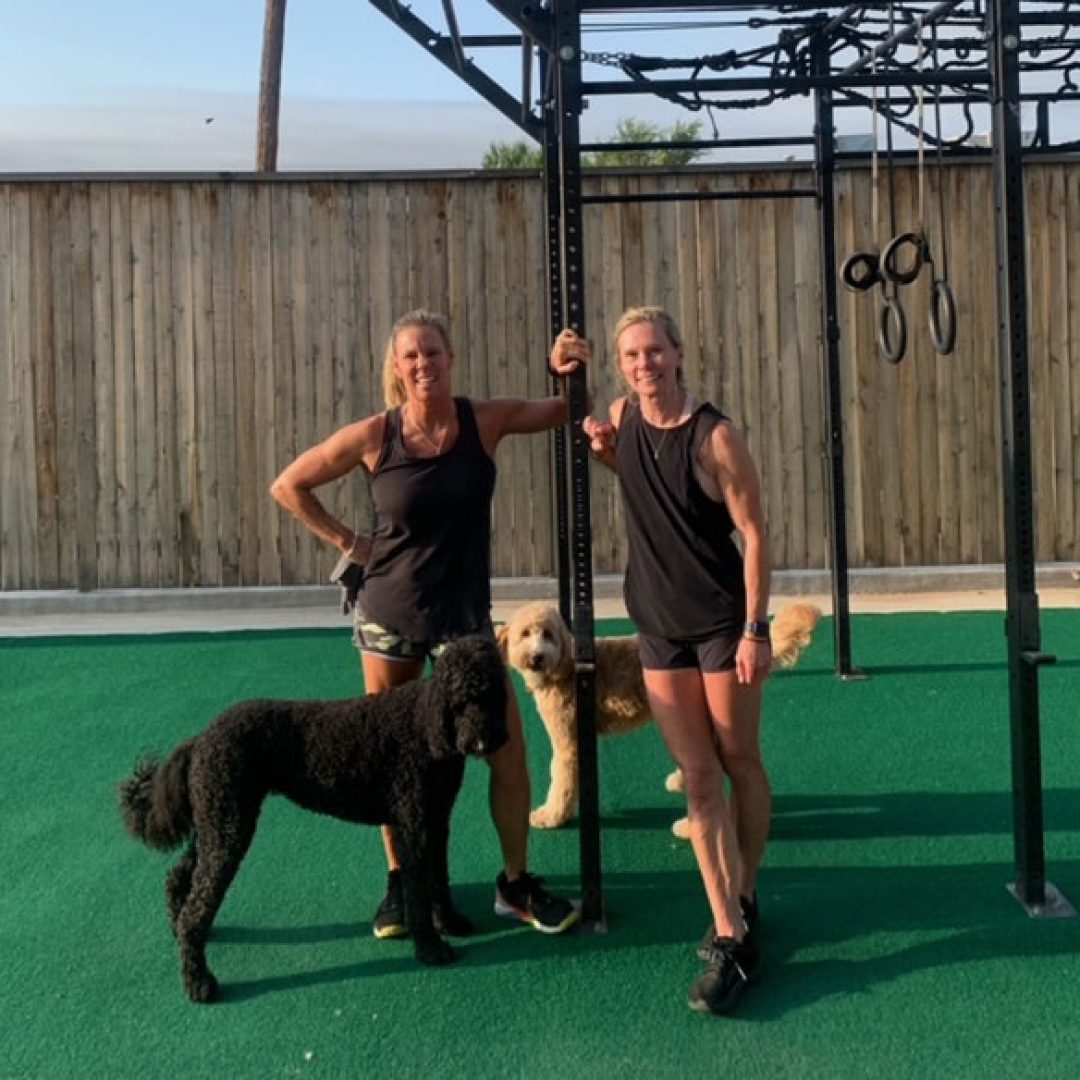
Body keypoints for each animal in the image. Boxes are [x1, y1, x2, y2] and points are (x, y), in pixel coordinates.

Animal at [120, 630, 507, 1002]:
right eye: (459, 701)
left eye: (491, 696)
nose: (482, 742)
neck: (426, 724)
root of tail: (202, 737)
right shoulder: (414, 826)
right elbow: (418, 891)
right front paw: (430, 948)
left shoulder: (437, 821)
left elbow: (439, 879)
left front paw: (451, 922)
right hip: (229, 826)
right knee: (198, 906)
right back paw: (199, 980)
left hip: (216, 821)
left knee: (180, 876)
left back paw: (177, 926)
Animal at [496, 600, 816, 833]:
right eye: (525, 634)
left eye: (548, 635)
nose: (537, 656)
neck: (566, 667)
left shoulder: (568, 743)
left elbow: (560, 781)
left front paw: (551, 816)